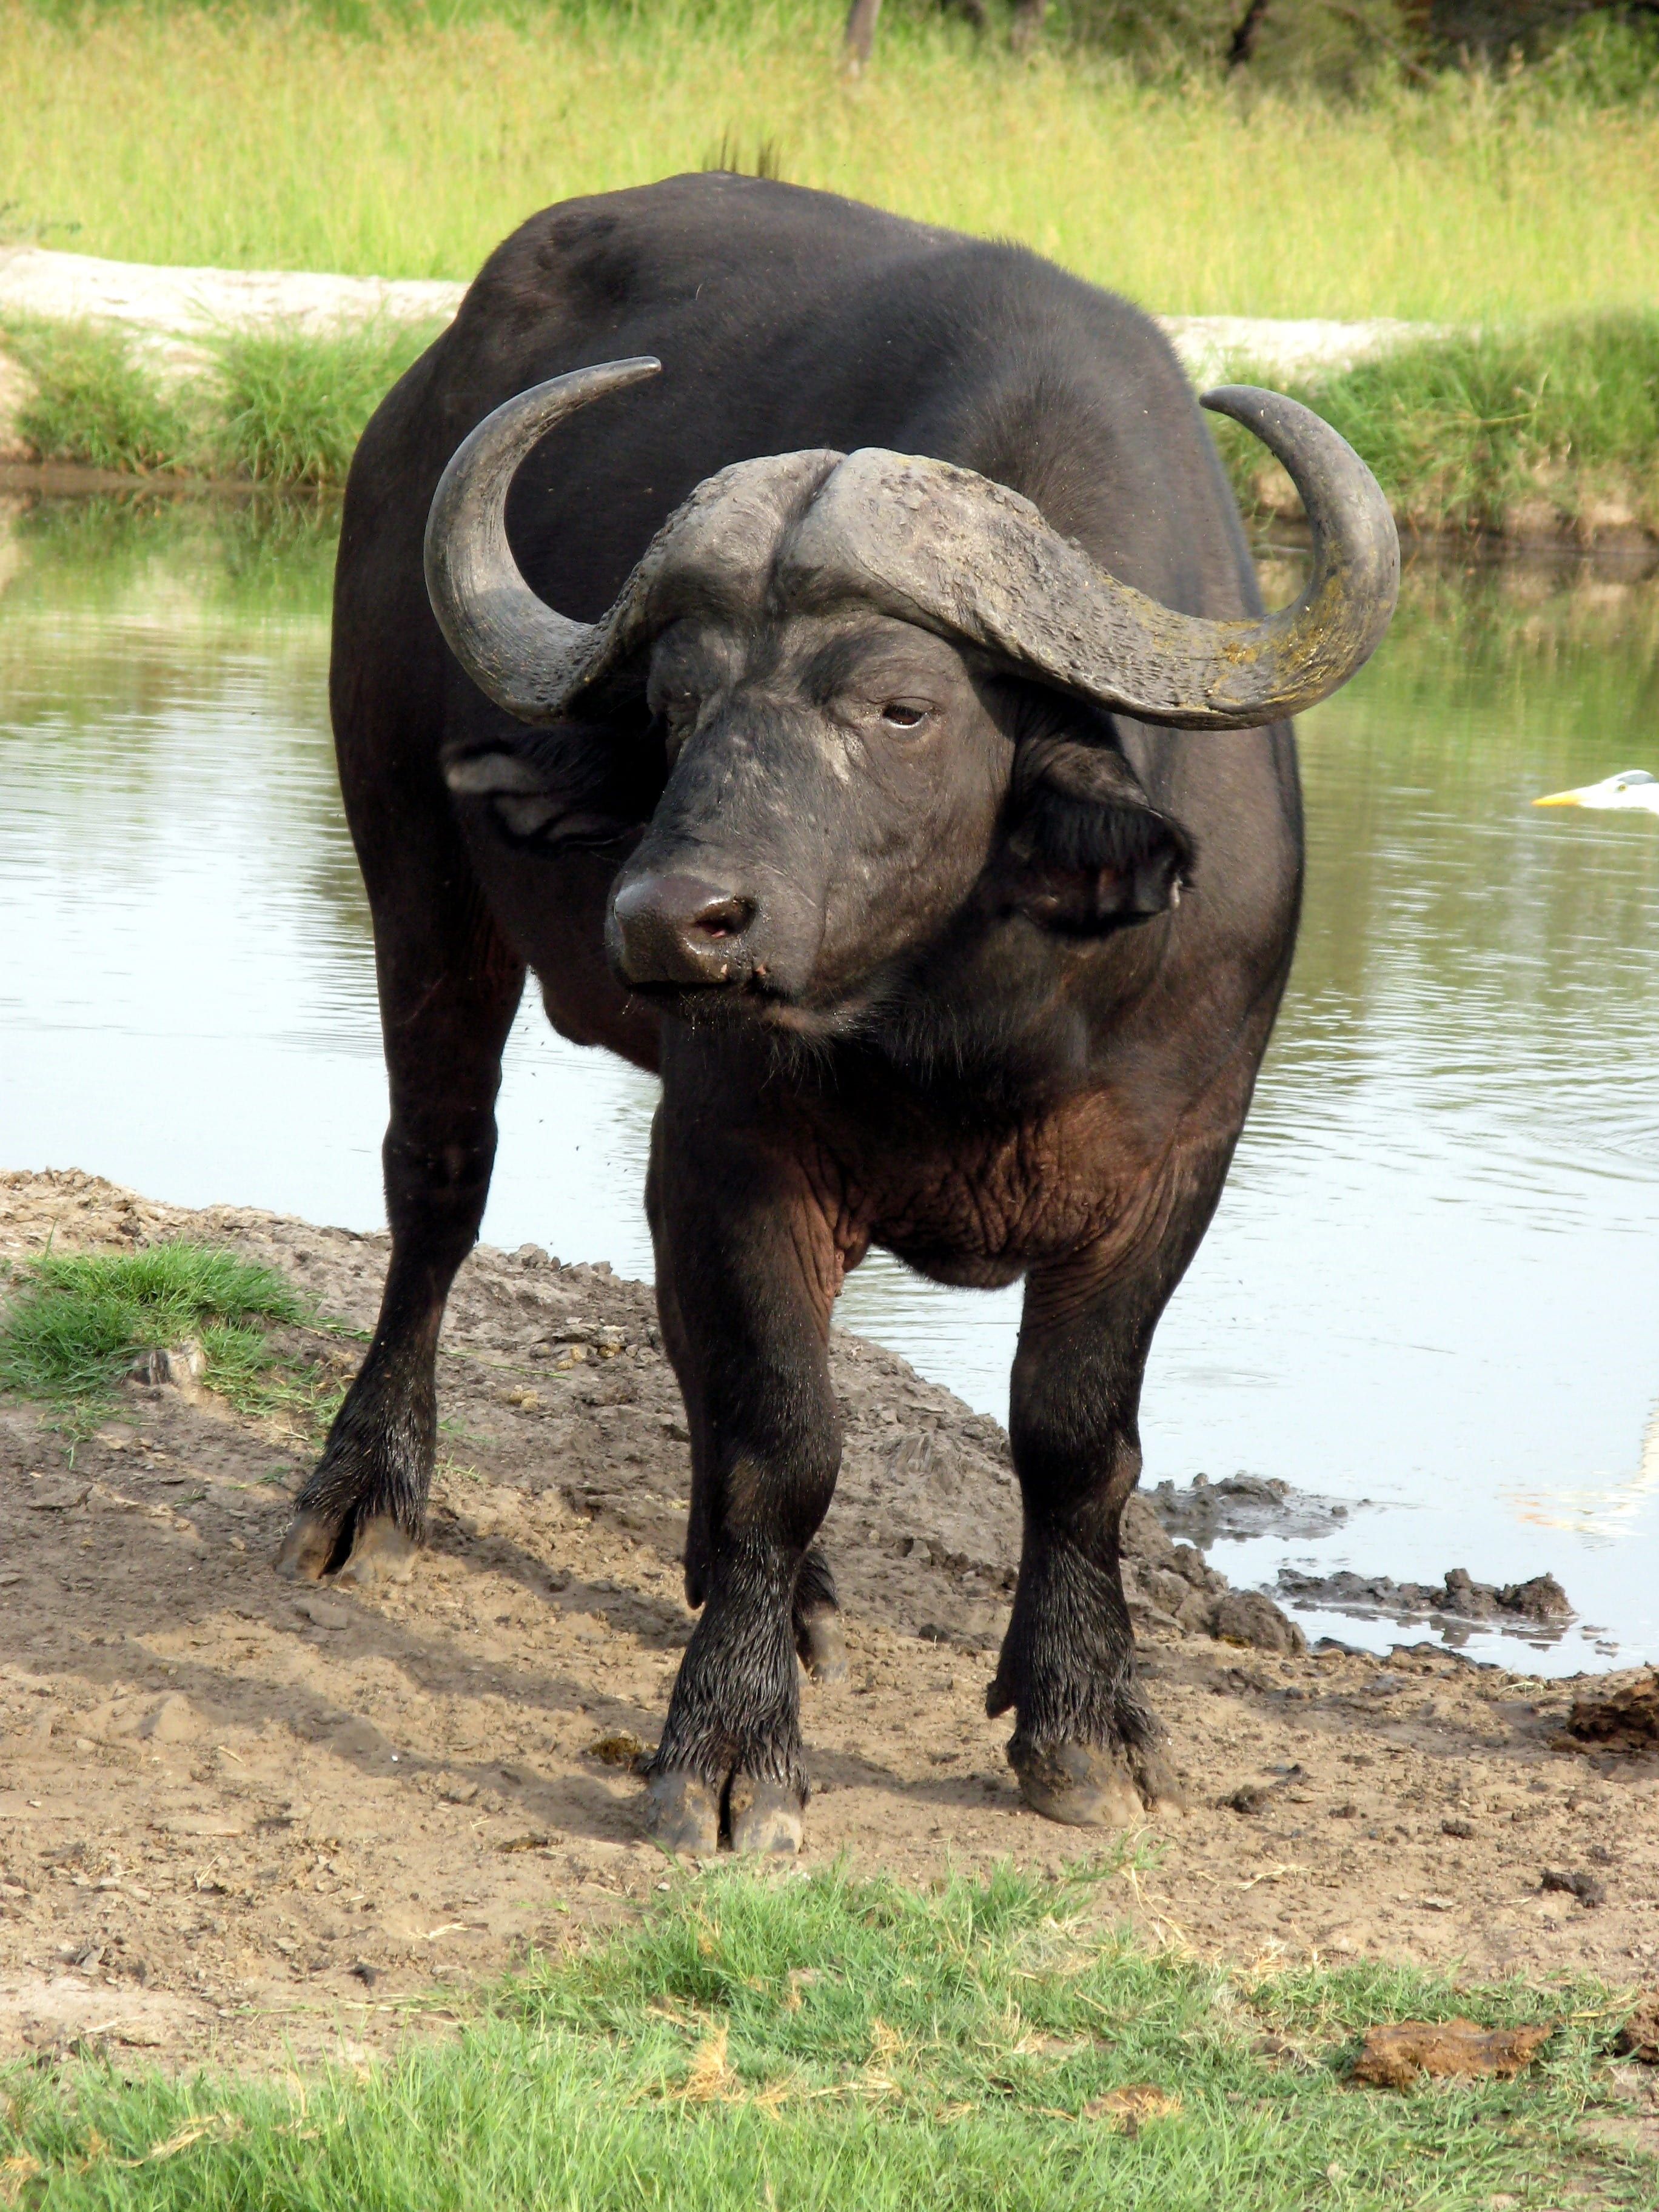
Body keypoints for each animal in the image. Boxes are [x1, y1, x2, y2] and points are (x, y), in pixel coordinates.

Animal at [280, 181, 1398, 1858]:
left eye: (900, 706)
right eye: (673, 701)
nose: (668, 917)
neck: (982, 1017)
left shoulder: (1175, 1161)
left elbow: (1077, 1438)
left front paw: (1081, 1718)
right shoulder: (745, 1147)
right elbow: (782, 1437)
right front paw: (731, 1742)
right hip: (412, 866)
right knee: (439, 1179)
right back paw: (366, 1491)